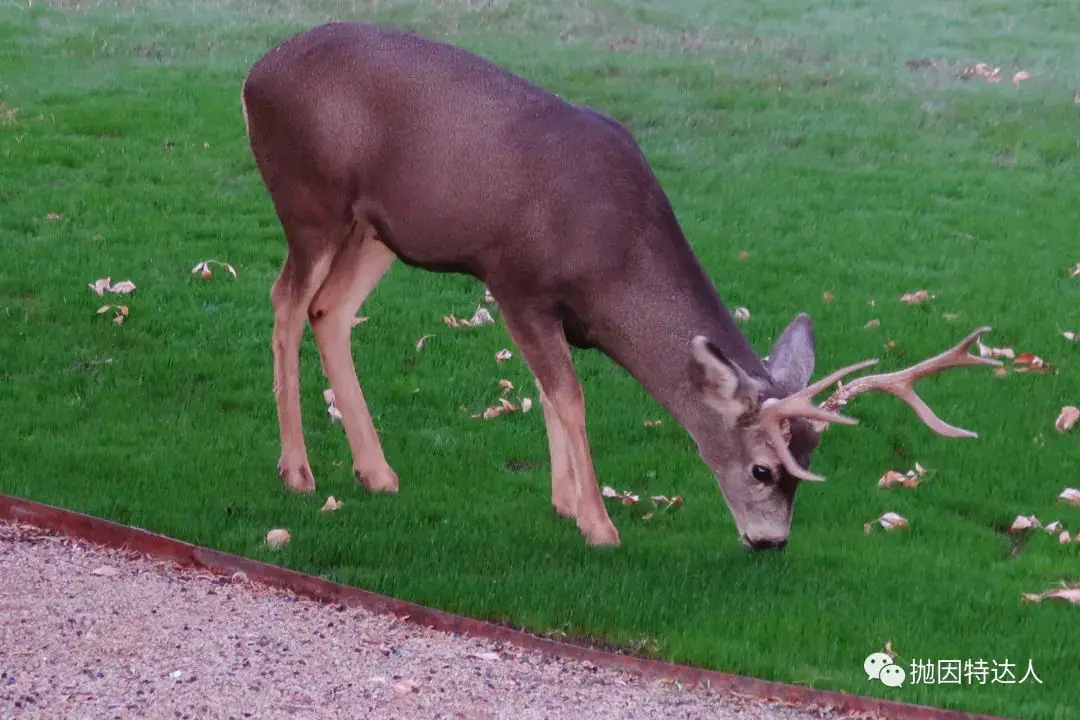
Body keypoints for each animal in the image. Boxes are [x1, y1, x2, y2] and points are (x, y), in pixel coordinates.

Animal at [238, 21, 1002, 552]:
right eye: (763, 469)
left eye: (808, 460)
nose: (770, 543)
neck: (614, 265)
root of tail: (253, 74)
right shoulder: (516, 281)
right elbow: (570, 396)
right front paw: (600, 525)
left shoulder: (540, 306)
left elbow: (548, 393)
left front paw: (563, 501)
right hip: (309, 198)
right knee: (286, 302)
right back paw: (298, 471)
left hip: (378, 230)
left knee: (331, 310)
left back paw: (377, 473)